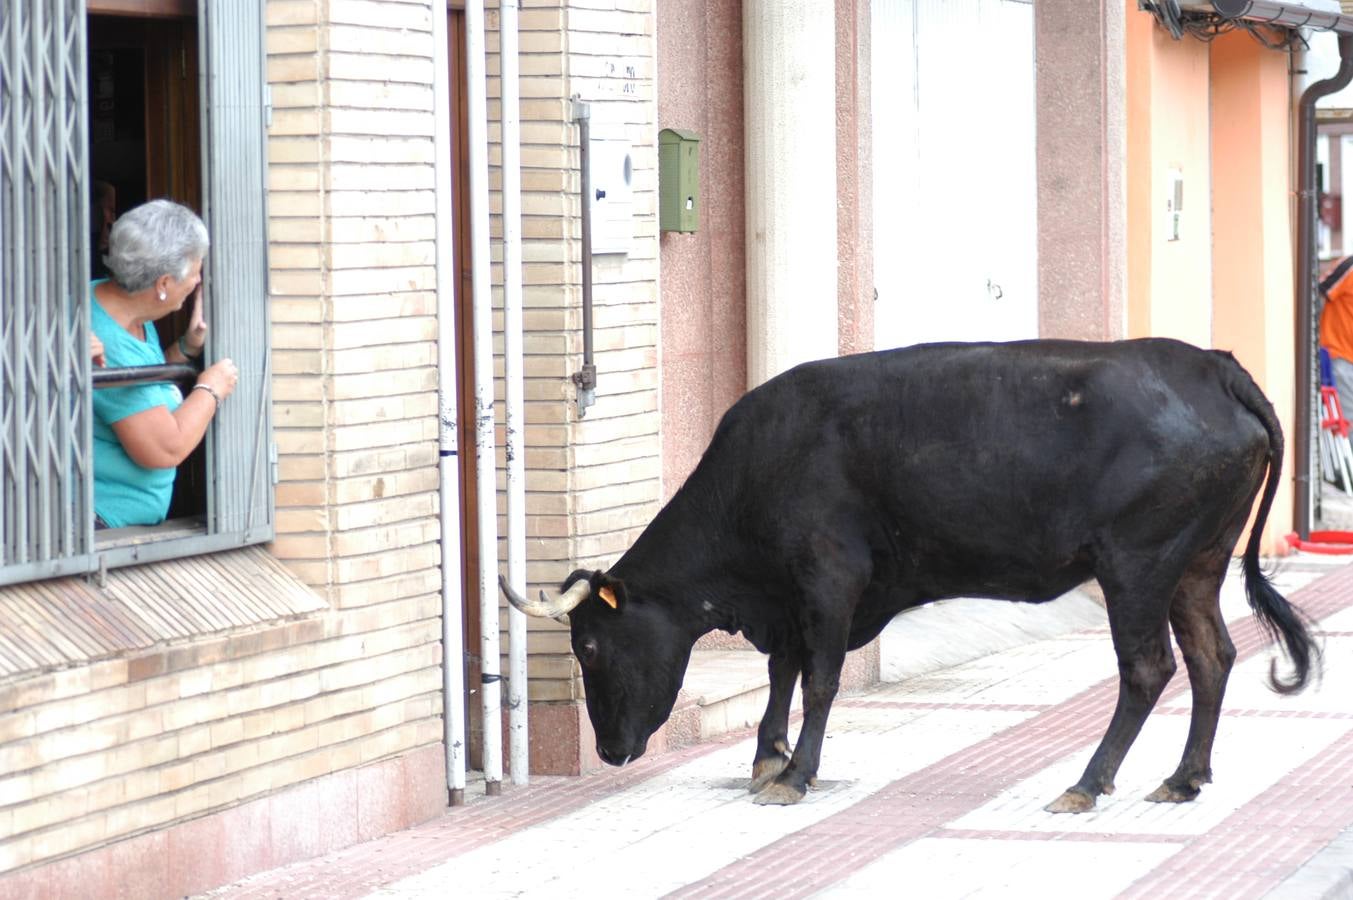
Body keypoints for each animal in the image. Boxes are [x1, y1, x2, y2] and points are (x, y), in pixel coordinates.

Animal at [503, 336, 1315, 806]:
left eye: (590, 645)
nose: (610, 750)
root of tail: (1211, 366)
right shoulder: (789, 596)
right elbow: (782, 671)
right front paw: (766, 757)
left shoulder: (829, 577)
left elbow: (819, 678)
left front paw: (794, 774)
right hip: (1195, 563)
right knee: (1212, 656)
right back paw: (1183, 777)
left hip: (1137, 564)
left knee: (1148, 669)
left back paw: (1088, 782)